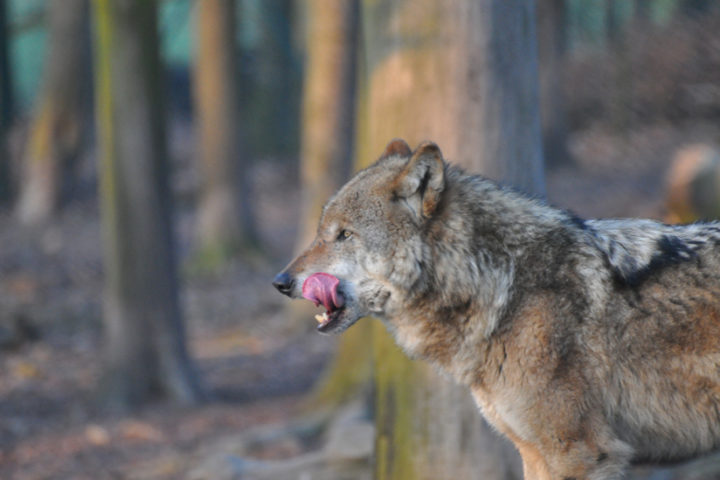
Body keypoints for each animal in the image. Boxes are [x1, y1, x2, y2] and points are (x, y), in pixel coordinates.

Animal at [272, 139, 720, 480]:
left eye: (344, 235)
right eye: (322, 232)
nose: (280, 281)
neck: (502, 284)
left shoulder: (577, 451)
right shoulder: (534, 453)